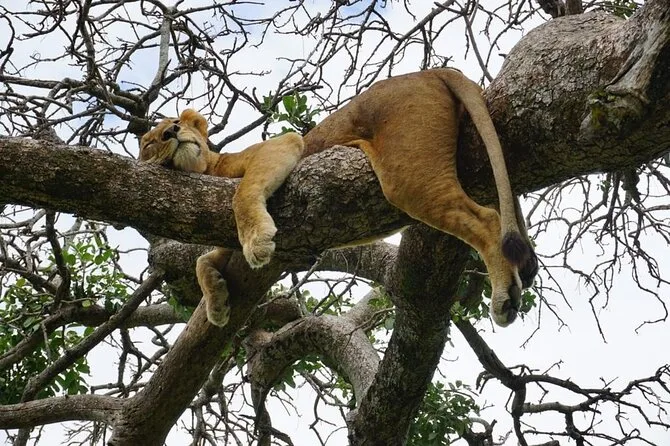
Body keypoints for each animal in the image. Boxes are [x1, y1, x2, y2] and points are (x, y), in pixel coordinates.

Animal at [139, 68, 538, 328]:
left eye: (174, 124)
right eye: (150, 142)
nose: (173, 132)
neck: (206, 168)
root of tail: (433, 69)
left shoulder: (280, 146)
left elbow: (242, 195)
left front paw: (256, 244)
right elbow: (202, 259)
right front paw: (217, 303)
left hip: (407, 176)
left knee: (487, 220)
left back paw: (504, 298)